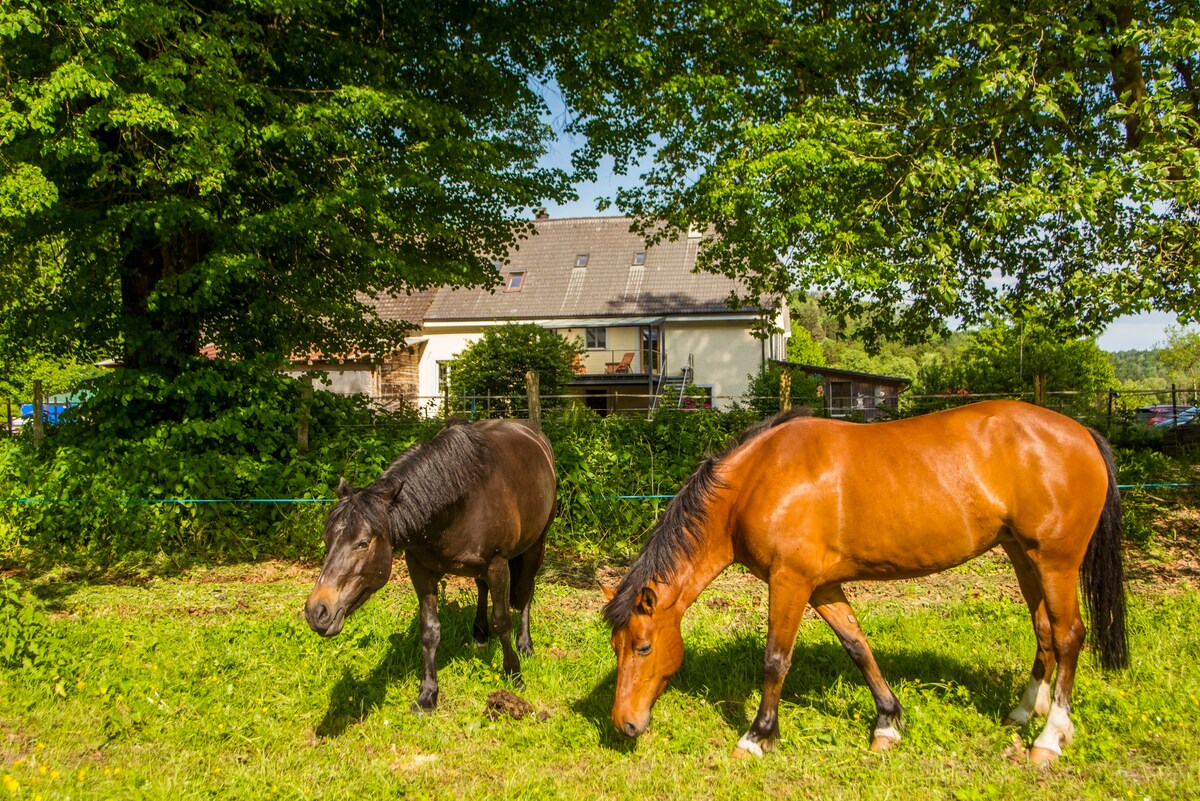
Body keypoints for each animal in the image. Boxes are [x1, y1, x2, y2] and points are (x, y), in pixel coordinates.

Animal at [304, 417, 556, 709]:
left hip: (536, 544)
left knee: (526, 590)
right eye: (327, 539)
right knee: (482, 587)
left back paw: (525, 644)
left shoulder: (497, 565)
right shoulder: (420, 570)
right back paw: (480, 634)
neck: (458, 502)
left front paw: (514, 674)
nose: (316, 612)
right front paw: (428, 694)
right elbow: (429, 630)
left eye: (363, 543)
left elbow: (503, 621)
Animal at [604, 400, 1128, 762]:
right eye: (617, 647)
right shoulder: (821, 586)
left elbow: (775, 660)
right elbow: (858, 647)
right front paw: (887, 723)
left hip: (1056, 560)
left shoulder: (789, 581)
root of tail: (1081, 431)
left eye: (643, 647)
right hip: (1023, 555)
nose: (624, 724)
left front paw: (757, 736)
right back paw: (1024, 711)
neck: (757, 480)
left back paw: (1050, 737)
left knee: (1068, 635)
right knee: (1044, 629)